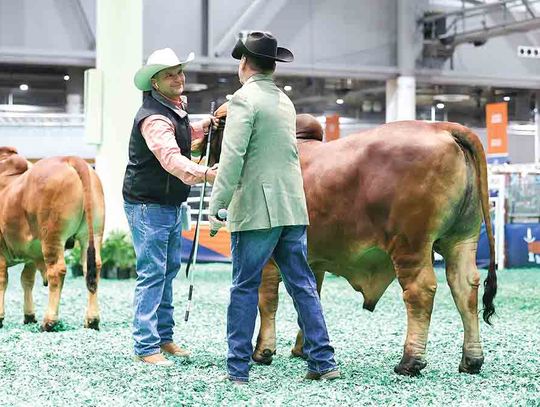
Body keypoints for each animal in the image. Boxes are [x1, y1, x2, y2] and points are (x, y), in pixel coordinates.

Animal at [0, 148, 105, 334]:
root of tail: (70, 159)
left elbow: (3, 281)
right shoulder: (30, 255)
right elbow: (27, 280)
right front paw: (29, 316)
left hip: (52, 235)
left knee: (56, 271)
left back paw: (49, 322)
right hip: (92, 233)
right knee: (92, 268)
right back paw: (92, 321)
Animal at [196, 109, 496, 380]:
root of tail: (441, 127)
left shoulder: (267, 254)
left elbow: (268, 300)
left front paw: (263, 351)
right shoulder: (312, 259)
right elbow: (309, 298)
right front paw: (303, 349)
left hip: (410, 244)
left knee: (420, 292)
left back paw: (410, 361)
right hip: (462, 239)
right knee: (465, 287)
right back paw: (472, 360)